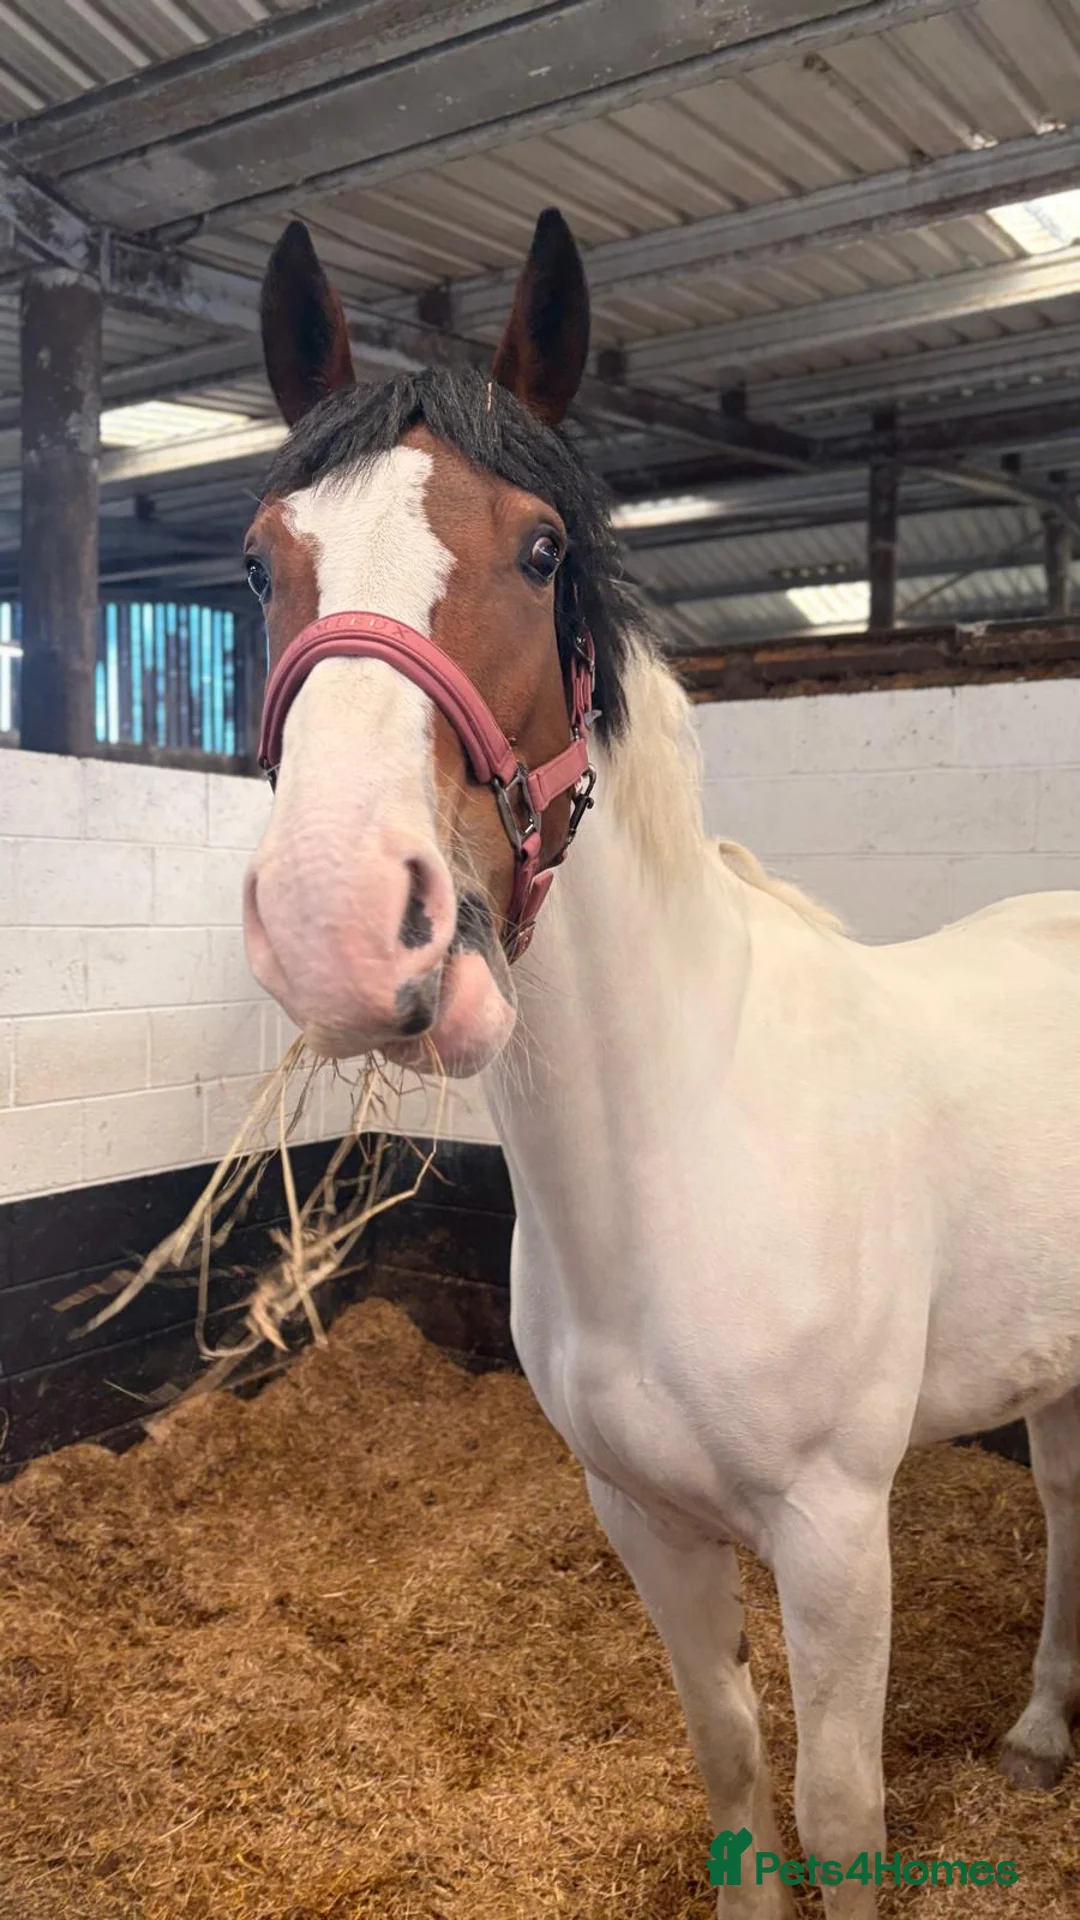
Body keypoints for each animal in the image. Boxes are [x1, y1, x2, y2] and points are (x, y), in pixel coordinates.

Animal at [240, 208, 1080, 1917]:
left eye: (540, 550)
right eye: (261, 557)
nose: (335, 919)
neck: (678, 1155)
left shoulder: (835, 1532)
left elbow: (840, 1809)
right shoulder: (643, 1519)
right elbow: (733, 1767)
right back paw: (1039, 1736)